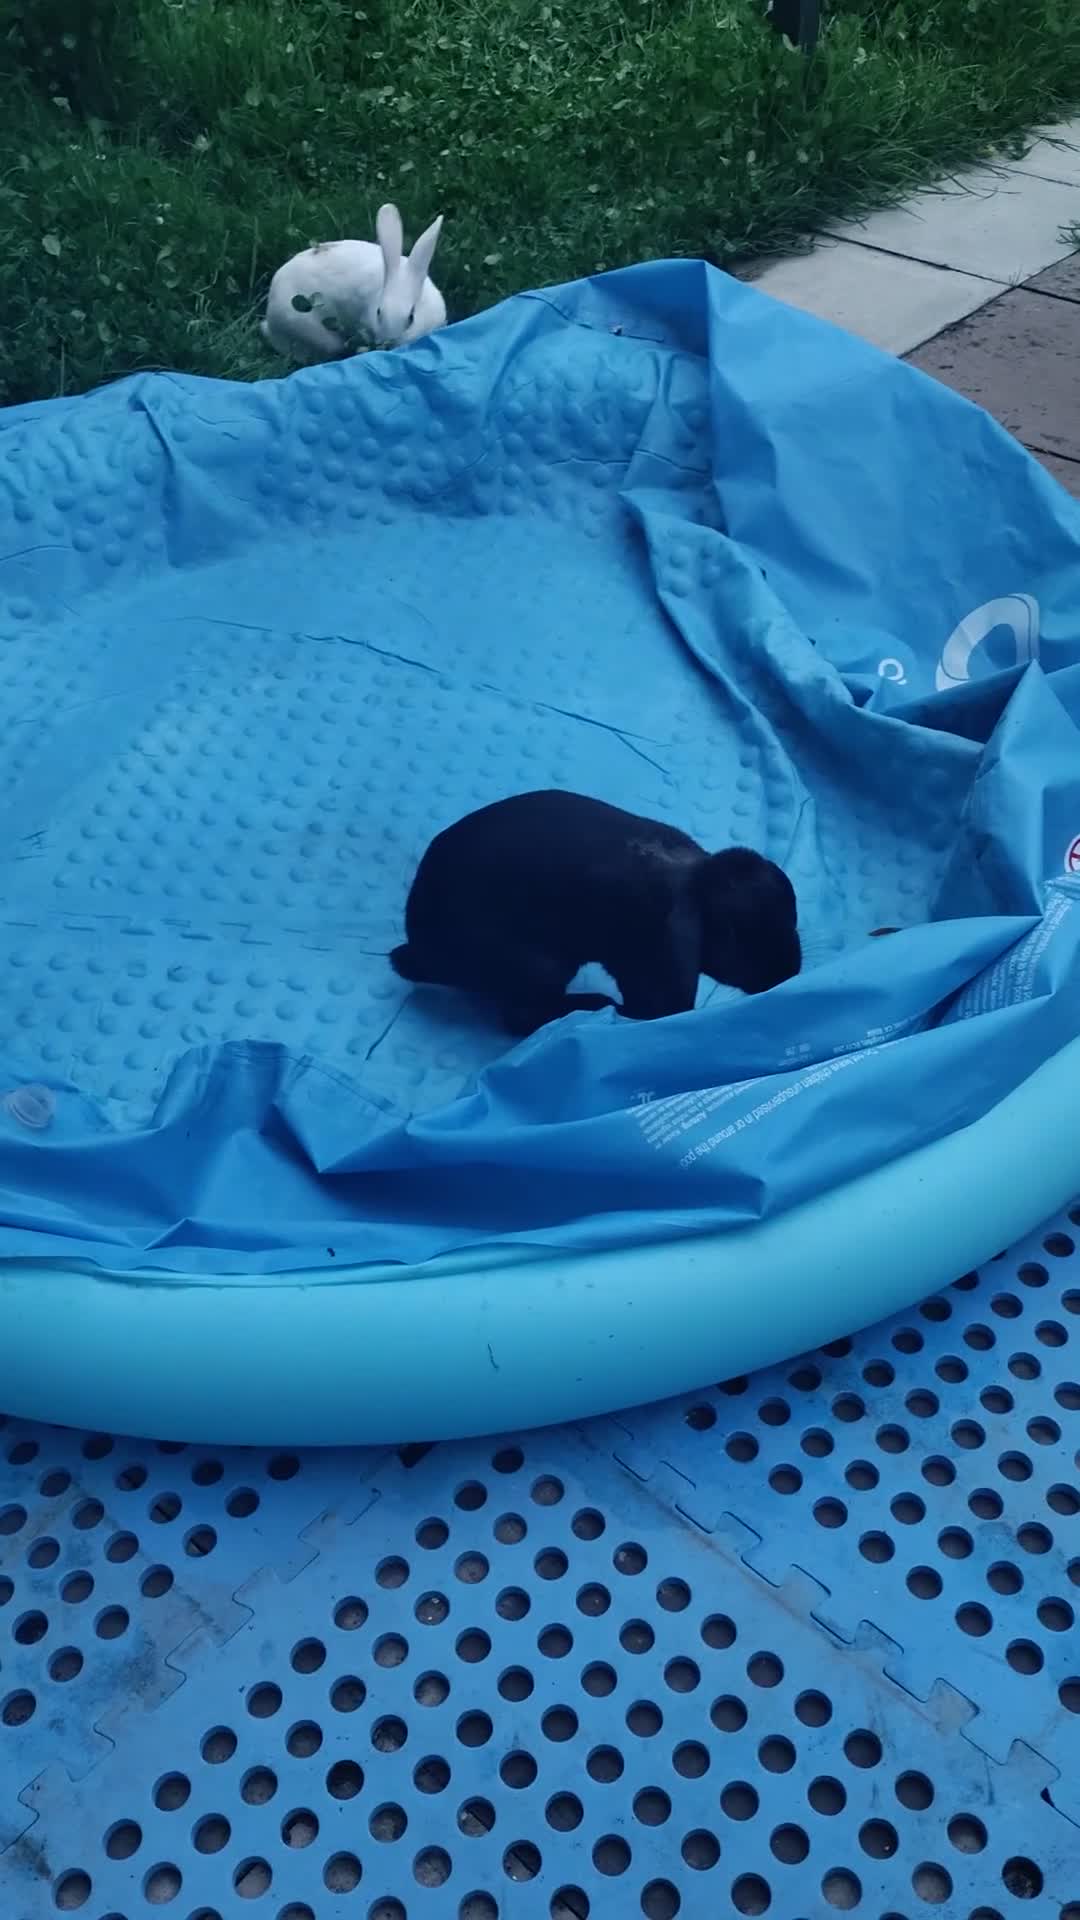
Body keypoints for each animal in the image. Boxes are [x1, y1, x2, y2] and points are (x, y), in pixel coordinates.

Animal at [390, 790, 801, 1036]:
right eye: (749, 940)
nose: (790, 972)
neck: (698, 886)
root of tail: (419, 946)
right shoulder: (665, 957)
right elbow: (656, 1007)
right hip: (543, 965)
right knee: (521, 1019)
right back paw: (594, 1005)